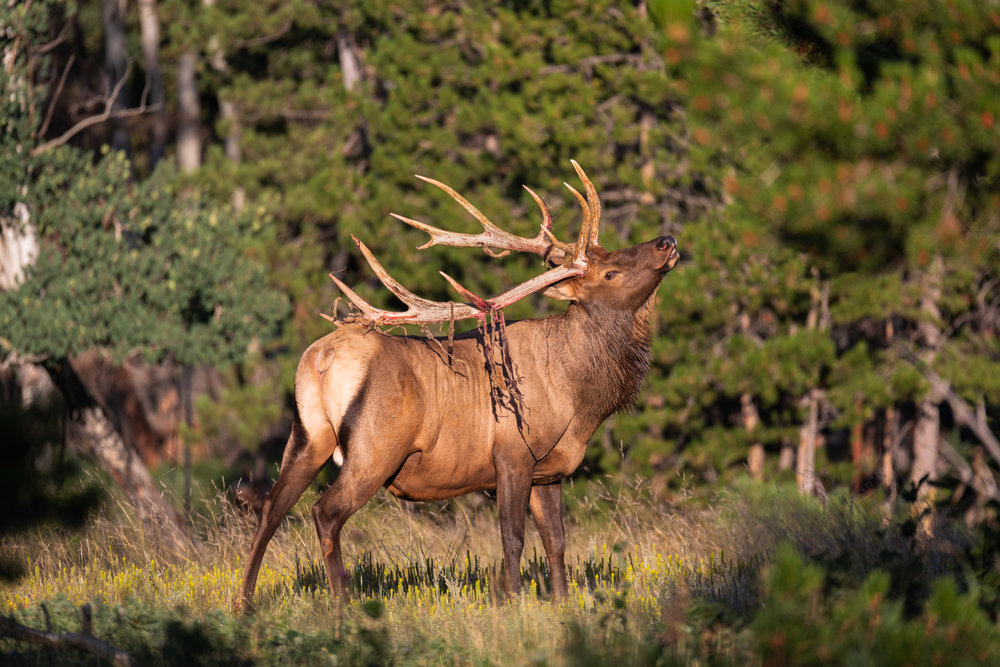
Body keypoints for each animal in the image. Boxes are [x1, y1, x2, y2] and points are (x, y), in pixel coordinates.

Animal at [236, 160, 680, 612]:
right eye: (611, 272)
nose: (667, 240)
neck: (577, 399)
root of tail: (321, 360)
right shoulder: (512, 453)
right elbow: (513, 538)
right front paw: (512, 602)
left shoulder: (548, 470)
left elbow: (556, 541)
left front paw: (561, 603)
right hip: (374, 448)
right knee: (324, 512)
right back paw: (343, 604)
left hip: (307, 436)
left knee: (271, 508)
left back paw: (244, 602)